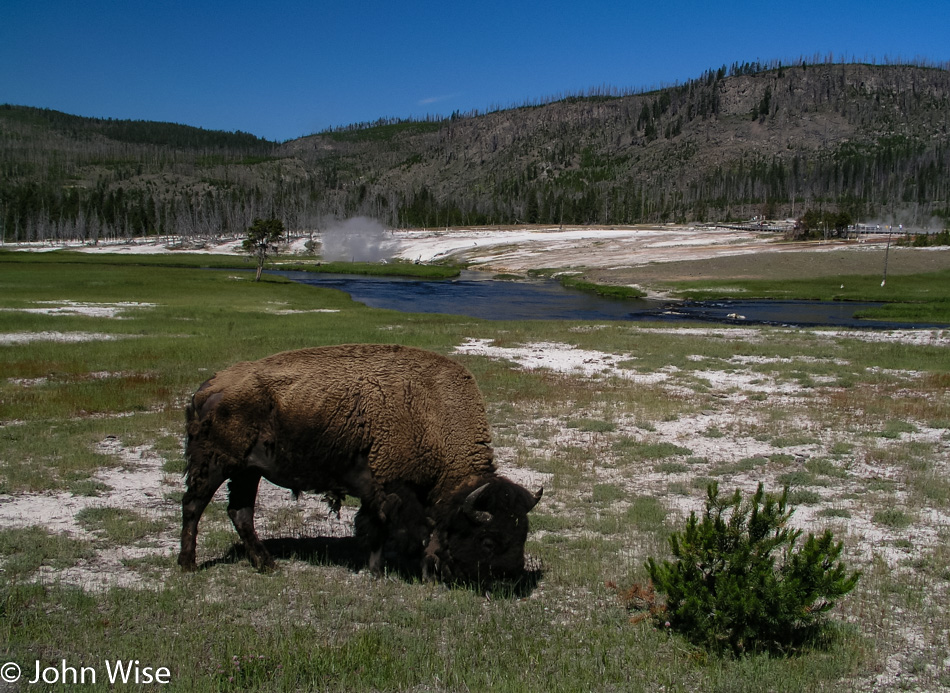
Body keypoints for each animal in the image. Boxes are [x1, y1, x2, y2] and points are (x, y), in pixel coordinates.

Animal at [175, 344, 540, 580]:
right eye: (488, 539)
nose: (510, 576)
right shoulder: (390, 489)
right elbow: (391, 528)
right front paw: (381, 570)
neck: (432, 414)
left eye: (523, 533)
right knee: (194, 505)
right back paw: (188, 564)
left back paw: (267, 565)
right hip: (216, 464)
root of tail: (208, 387)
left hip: (248, 471)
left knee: (240, 513)